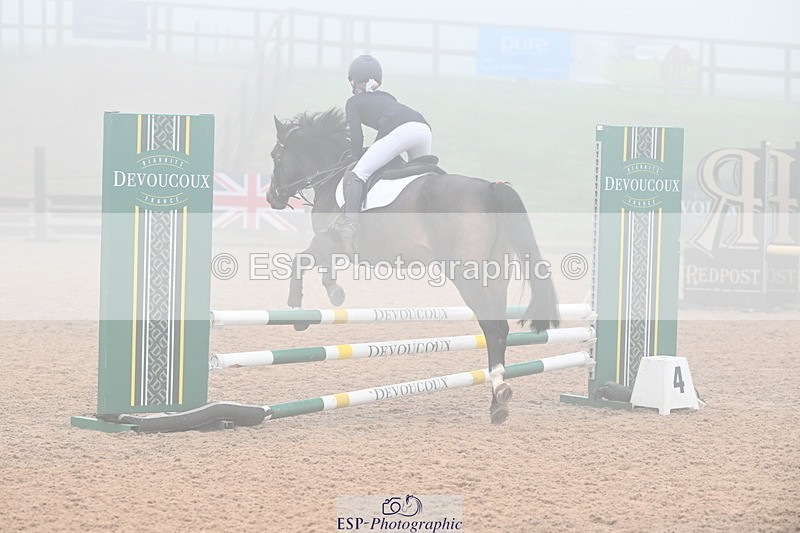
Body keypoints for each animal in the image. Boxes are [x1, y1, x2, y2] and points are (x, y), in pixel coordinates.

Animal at [266, 109, 560, 424]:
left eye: (275, 155)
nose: (272, 197)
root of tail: (489, 188)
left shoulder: (327, 243)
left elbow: (300, 260)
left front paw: (303, 307)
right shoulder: (330, 247)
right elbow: (309, 262)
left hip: (467, 275)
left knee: (492, 328)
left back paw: (499, 395)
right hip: (495, 275)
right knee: (501, 329)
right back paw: (497, 401)